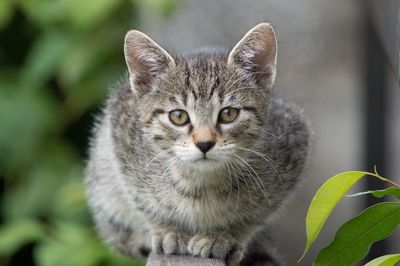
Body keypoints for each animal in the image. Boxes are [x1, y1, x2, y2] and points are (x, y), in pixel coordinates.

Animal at [86, 23, 310, 266]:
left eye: (228, 114)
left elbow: (256, 215)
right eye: (178, 116)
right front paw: (168, 230)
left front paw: (225, 236)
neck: (202, 184)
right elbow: (142, 201)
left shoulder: (293, 141)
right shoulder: (120, 136)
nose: (204, 143)